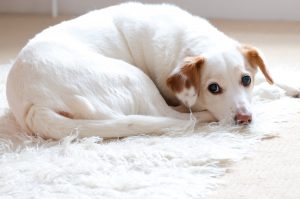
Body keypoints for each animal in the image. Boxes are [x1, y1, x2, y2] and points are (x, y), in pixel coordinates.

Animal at [5, 2, 298, 139]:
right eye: (213, 88)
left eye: (246, 79)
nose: (245, 119)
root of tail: (34, 105)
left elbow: (271, 79)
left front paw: (289, 86)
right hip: (134, 78)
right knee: (175, 117)